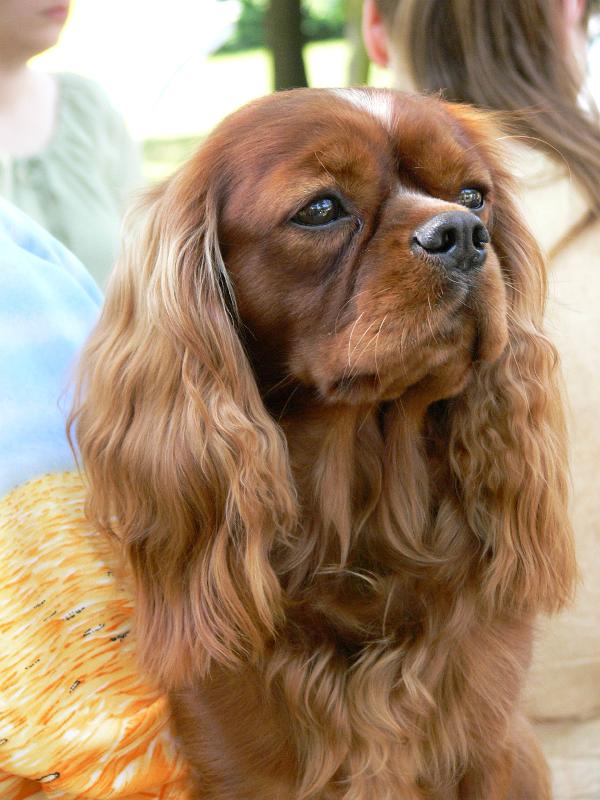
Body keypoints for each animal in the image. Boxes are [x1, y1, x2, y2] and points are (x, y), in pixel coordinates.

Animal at [71, 88, 575, 799]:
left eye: (474, 196)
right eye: (320, 209)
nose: (461, 233)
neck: (361, 521)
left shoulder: (490, 748)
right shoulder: (237, 764)